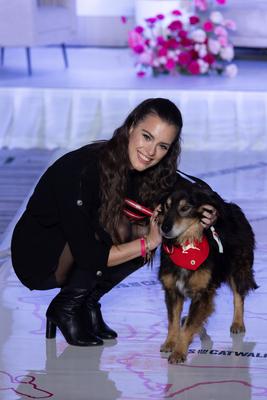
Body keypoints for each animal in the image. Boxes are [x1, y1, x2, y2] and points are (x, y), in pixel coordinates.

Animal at [158, 177, 258, 364]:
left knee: (238, 296)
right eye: (166, 206)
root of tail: (232, 207)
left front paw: (179, 351)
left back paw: (237, 323)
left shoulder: (202, 291)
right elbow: (173, 320)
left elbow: (189, 324)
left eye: (185, 208)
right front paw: (170, 342)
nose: (164, 228)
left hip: (238, 268)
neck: (186, 247)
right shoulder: (172, 290)